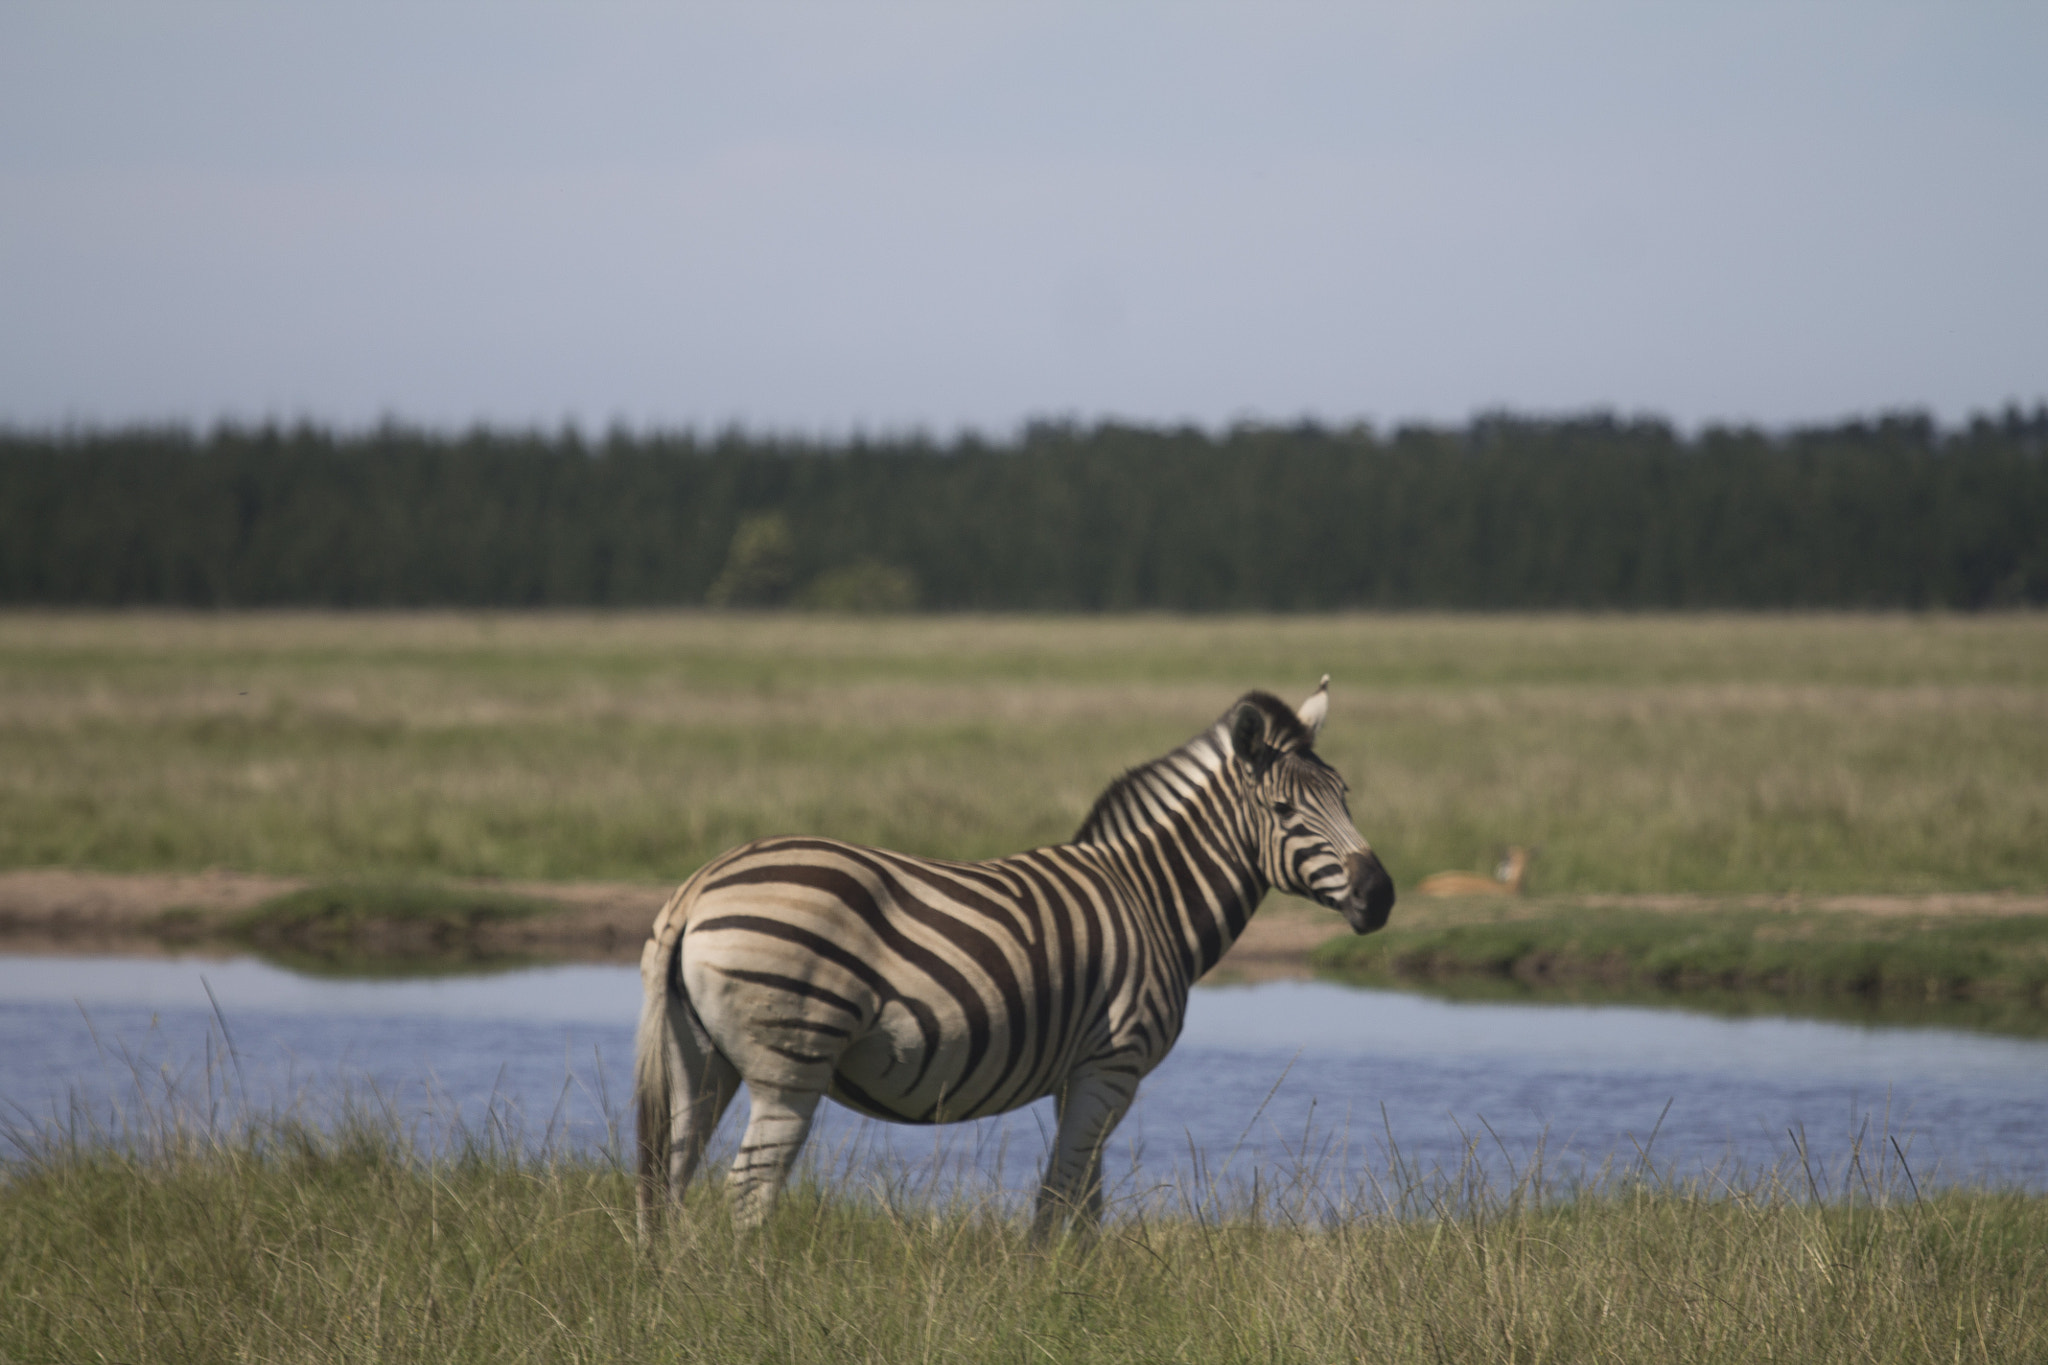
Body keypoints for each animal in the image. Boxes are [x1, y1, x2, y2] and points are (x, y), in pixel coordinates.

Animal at [634, 679, 1392, 1244]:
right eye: (1284, 809)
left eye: (1346, 796)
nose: (1380, 894)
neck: (1151, 900)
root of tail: (701, 882)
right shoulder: (1113, 1065)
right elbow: (1059, 1198)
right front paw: (1049, 1294)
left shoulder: (1081, 1075)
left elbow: (1085, 1202)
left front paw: (1077, 1292)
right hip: (790, 1061)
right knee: (748, 1194)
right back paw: (753, 1298)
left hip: (699, 1057)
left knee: (668, 1179)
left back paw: (676, 1292)